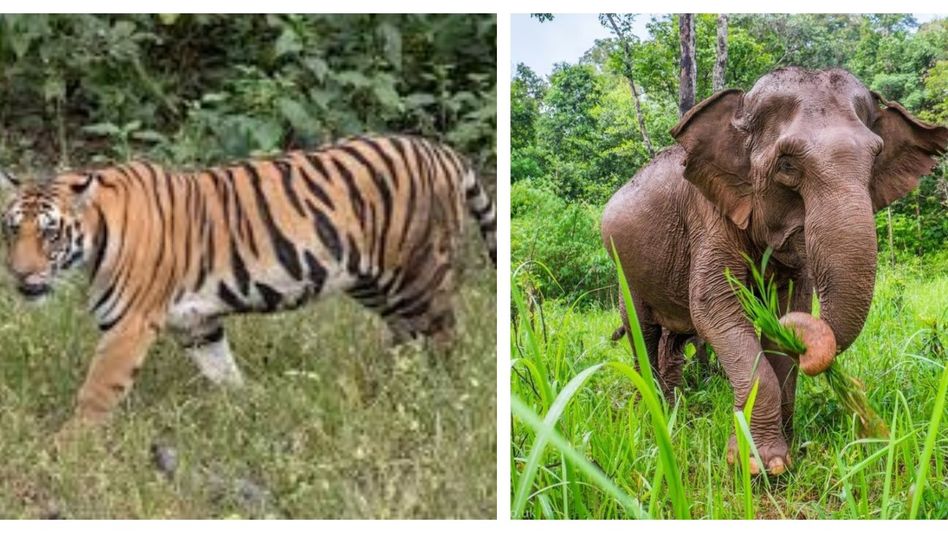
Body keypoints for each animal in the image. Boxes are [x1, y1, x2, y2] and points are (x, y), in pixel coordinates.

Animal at [0, 134, 496, 425]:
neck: (95, 238)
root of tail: (443, 152)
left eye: (49, 232)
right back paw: (392, 385)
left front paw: (68, 448)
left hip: (417, 276)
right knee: (408, 338)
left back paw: (442, 396)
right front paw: (250, 405)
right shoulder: (196, 323)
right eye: (12, 228)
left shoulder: (129, 324)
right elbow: (223, 371)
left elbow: (97, 391)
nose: (20, 274)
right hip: (374, 284)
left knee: (446, 337)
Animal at [601, 67, 948, 475]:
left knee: (672, 339)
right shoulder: (707, 215)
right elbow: (713, 306)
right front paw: (757, 464)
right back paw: (658, 412)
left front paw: (786, 450)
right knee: (644, 332)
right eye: (786, 165)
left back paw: (676, 406)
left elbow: (788, 309)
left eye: (875, 157)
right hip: (625, 273)